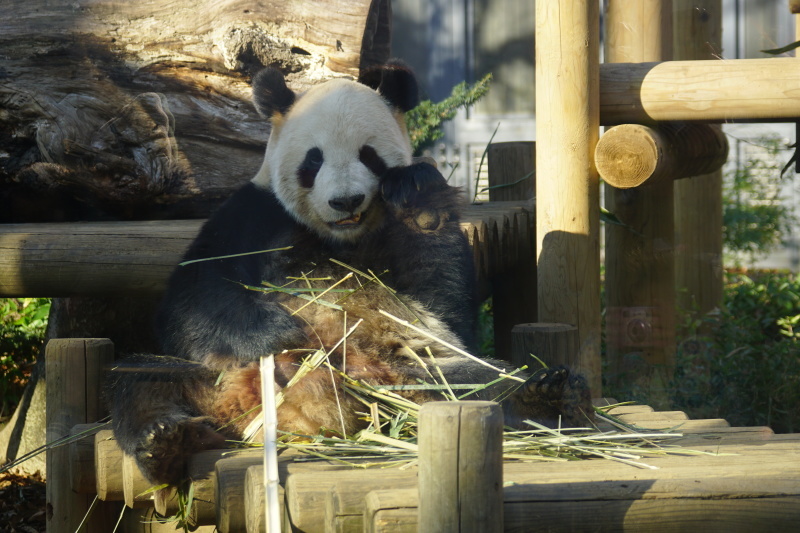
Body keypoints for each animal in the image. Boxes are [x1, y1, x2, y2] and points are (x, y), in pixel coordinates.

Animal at [108, 60, 592, 484]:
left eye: (369, 155)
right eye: (313, 160)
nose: (345, 201)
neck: (340, 237)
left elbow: (444, 305)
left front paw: (419, 201)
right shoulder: (249, 216)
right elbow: (192, 302)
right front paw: (277, 332)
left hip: (413, 377)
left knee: (481, 383)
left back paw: (547, 395)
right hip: (214, 376)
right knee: (141, 377)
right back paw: (163, 443)